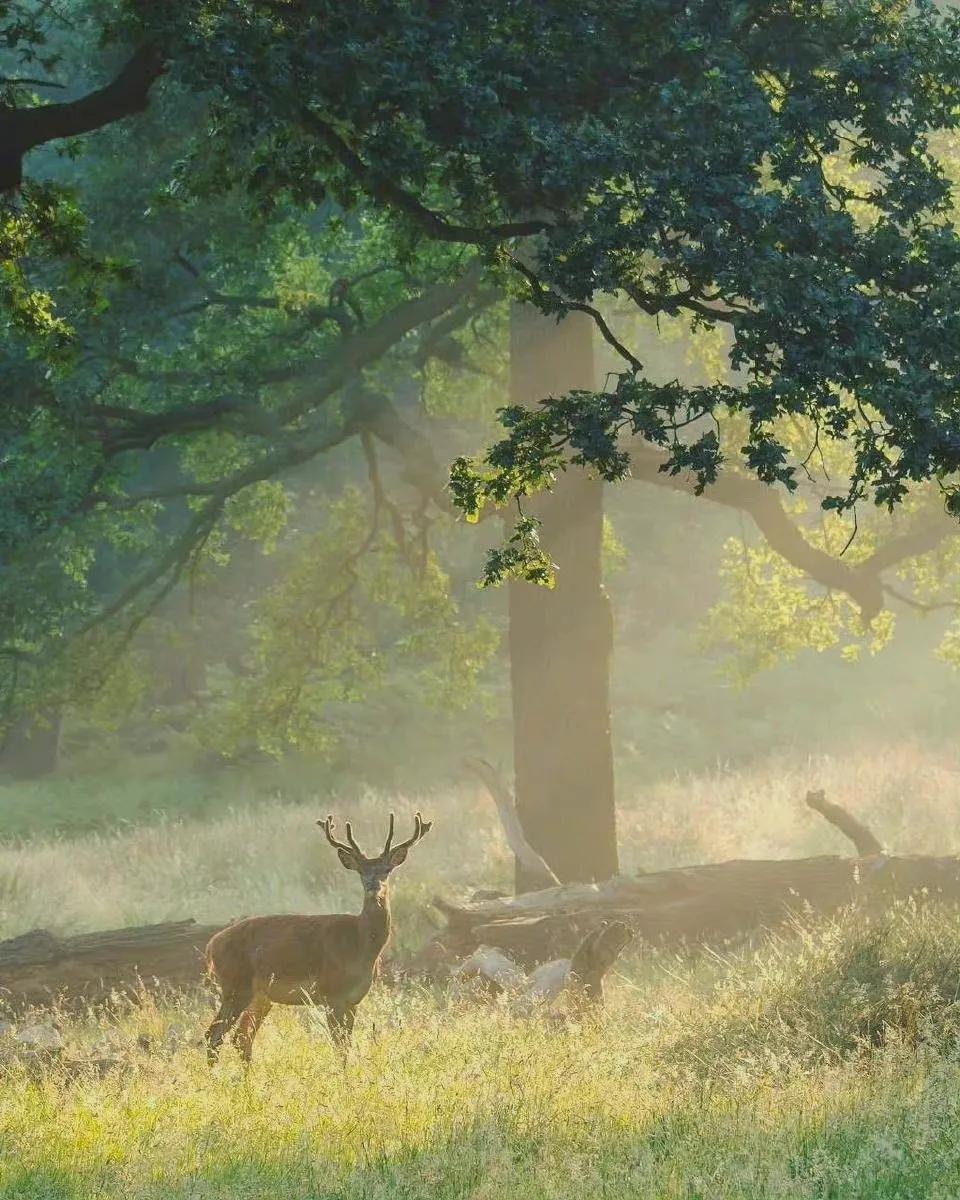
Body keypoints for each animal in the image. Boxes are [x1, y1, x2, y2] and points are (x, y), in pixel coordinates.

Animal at [204, 816, 432, 1060]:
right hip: (236, 985)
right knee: (214, 1036)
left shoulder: (353, 1000)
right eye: (361, 871)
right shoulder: (332, 994)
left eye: (387, 870)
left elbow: (346, 1045)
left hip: (260, 996)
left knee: (241, 1038)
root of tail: (212, 945)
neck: (360, 943)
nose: (373, 886)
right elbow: (340, 1047)